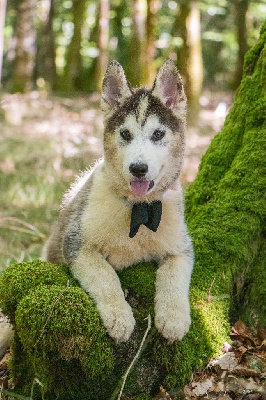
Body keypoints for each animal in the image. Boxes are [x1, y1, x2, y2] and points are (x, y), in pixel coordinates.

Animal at [43, 60, 193, 344]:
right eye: (125, 133)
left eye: (158, 134)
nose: (138, 168)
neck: (139, 208)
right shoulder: (77, 244)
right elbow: (106, 277)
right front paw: (119, 317)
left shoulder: (181, 247)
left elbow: (174, 277)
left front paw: (173, 318)